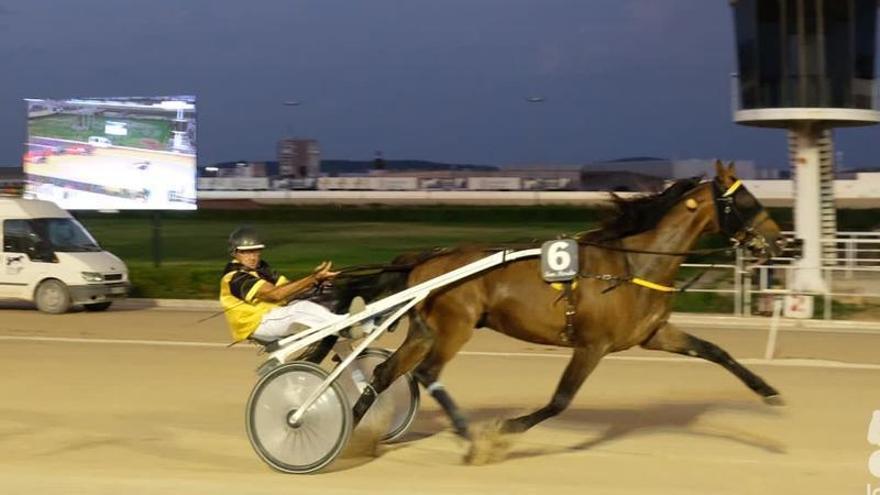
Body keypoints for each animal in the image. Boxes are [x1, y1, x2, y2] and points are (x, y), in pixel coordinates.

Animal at [334, 162, 788, 446]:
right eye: (746, 201)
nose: (780, 241)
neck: (630, 265)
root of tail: (425, 259)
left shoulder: (655, 334)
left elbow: (715, 350)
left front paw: (768, 392)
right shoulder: (592, 345)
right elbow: (561, 399)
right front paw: (508, 427)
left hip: (426, 331)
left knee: (385, 371)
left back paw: (351, 426)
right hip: (454, 327)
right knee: (427, 373)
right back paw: (465, 431)